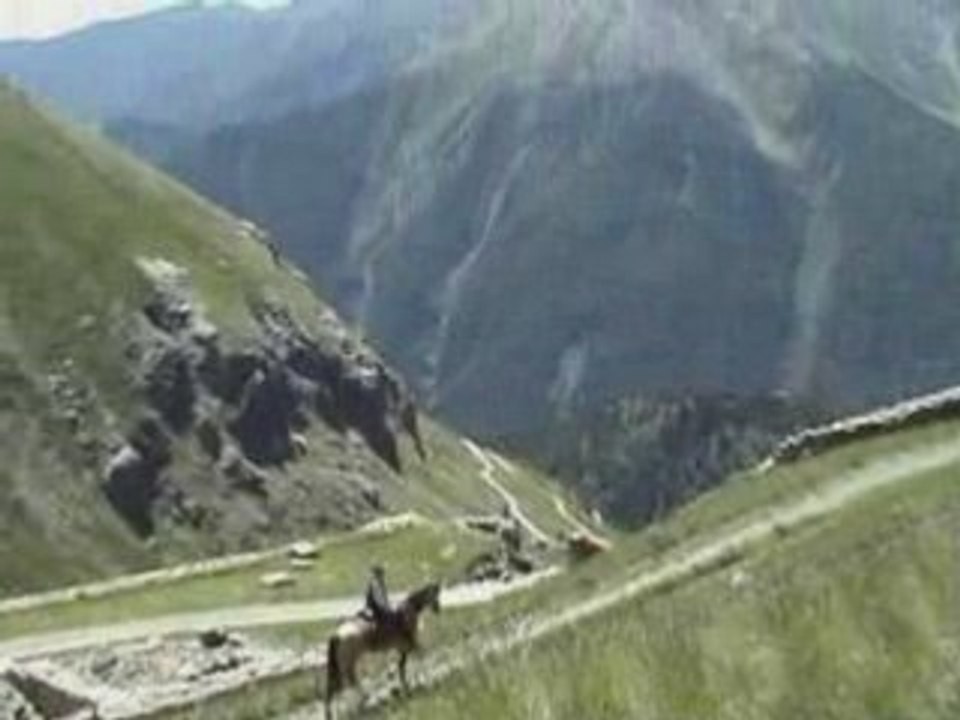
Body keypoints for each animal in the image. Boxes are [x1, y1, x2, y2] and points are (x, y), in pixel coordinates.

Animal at [323, 581, 442, 718]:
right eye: (435, 594)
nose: (438, 608)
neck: (409, 609)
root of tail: (337, 634)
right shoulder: (411, 644)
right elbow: (421, 657)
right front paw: (427, 681)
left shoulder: (403, 648)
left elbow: (402, 667)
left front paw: (406, 686)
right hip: (349, 665)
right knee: (347, 684)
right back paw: (360, 702)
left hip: (342, 666)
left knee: (335, 687)